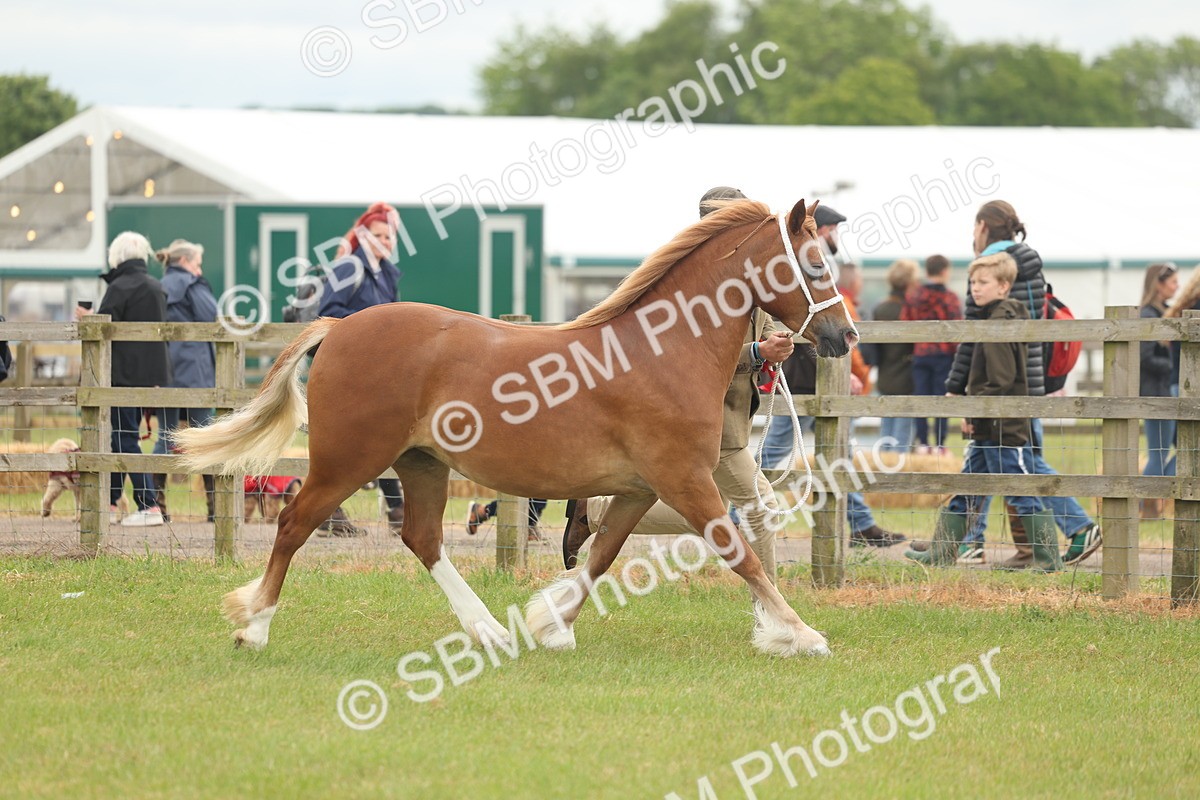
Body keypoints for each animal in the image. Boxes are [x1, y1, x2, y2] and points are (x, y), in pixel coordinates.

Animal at [175, 198, 858, 656]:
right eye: (813, 264)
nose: (846, 336)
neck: (662, 351)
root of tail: (339, 327)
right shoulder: (685, 479)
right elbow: (738, 552)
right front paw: (802, 633)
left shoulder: (642, 488)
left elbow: (601, 556)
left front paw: (550, 625)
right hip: (348, 460)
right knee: (295, 525)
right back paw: (254, 626)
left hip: (421, 463)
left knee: (423, 538)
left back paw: (487, 629)